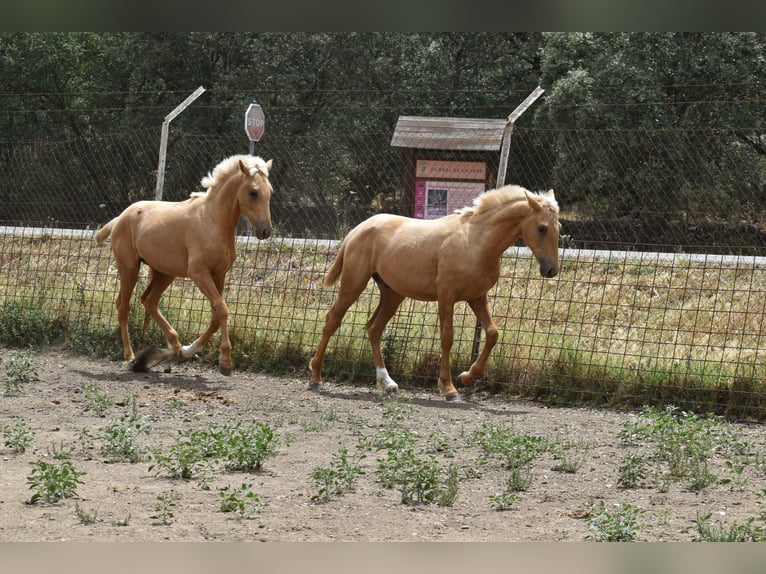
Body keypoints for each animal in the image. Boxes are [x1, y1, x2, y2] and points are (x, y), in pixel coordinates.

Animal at [95, 155, 276, 376]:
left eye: (270, 192)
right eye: (253, 192)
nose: (265, 231)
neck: (213, 221)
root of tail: (120, 217)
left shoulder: (219, 275)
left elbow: (216, 316)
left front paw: (188, 351)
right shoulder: (199, 274)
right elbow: (222, 309)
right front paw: (225, 362)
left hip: (164, 273)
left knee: (149, 300)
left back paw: (175, 347)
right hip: (129, 268)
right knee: (123, 305)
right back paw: (130, 357)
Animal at [308, 187, 560, 402]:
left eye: (559, 228)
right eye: (542, 228)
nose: (551, 270)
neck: (476, 241)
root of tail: (357, 230)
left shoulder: (477, 297)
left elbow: (492, 333)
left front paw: (466, 377)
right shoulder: (447, 296)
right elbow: (447, 337)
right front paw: (448, 388)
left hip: (392, 294)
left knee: (374, 328)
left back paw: (387, 383)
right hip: (353, 284)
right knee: (332, 321)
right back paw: (316, 377)